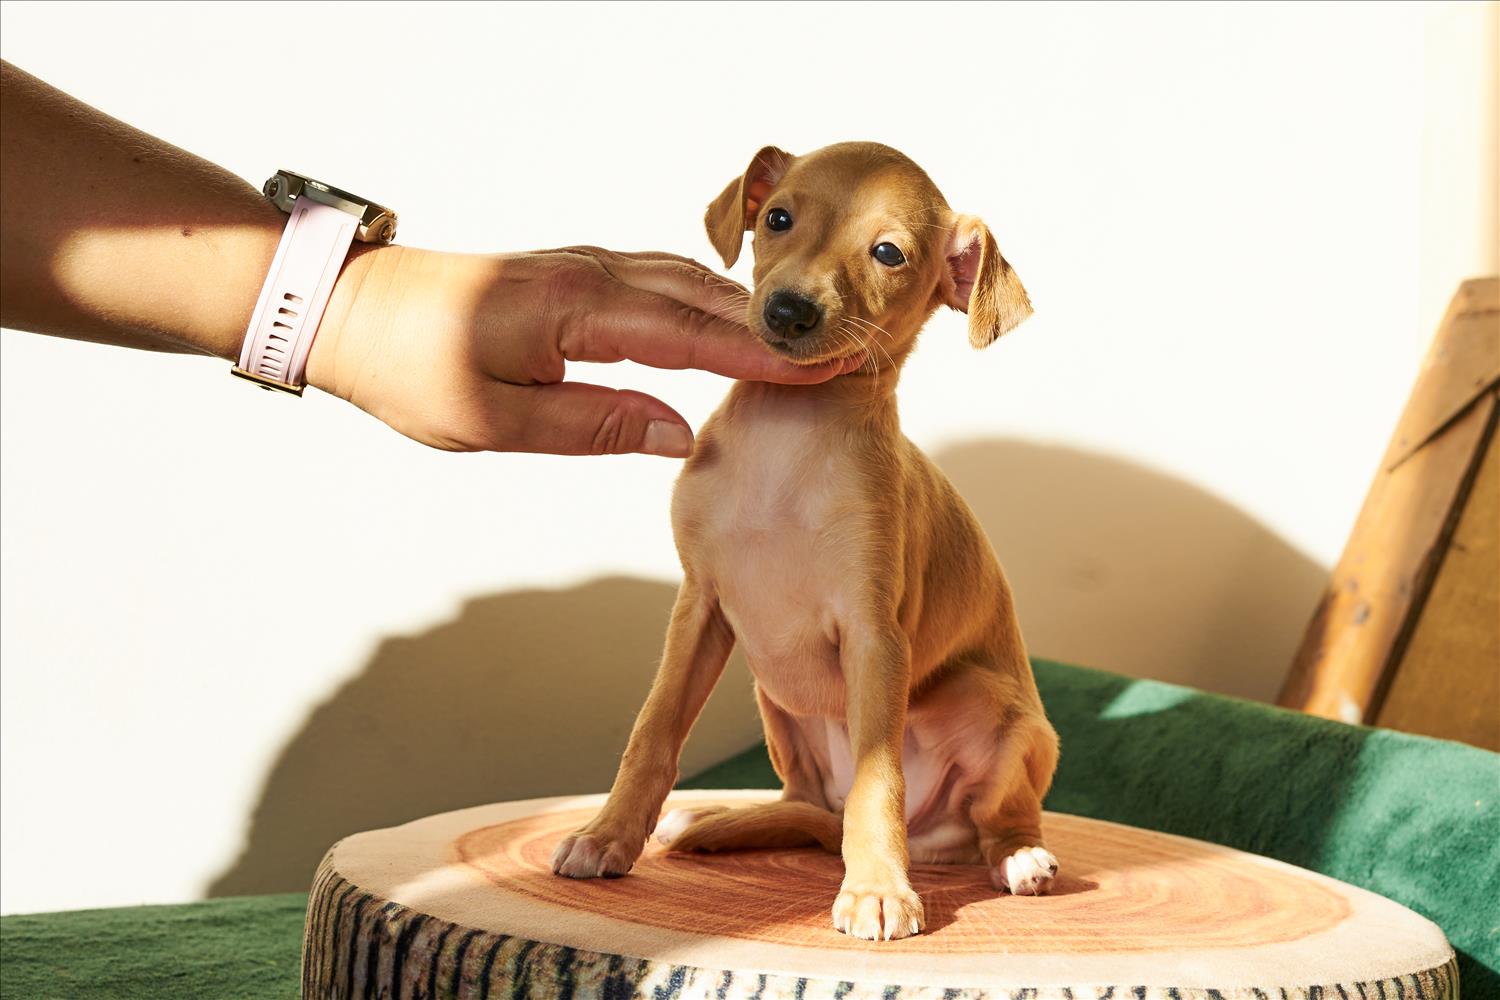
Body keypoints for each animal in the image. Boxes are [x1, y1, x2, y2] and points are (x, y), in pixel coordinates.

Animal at [551, 142, 1059, 942]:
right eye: (778, 219)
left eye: (888, 253)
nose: (788, 311)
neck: (786, 437)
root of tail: (931, 841)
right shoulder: (699, 609)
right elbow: (652, 732)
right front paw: (607, 836)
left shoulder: (875, 636)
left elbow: (879, 776)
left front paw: (877, 889)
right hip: (776, 700)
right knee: (808, 804)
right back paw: (719, 820)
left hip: (991, 704)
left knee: (990, 817)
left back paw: (1017, 858)